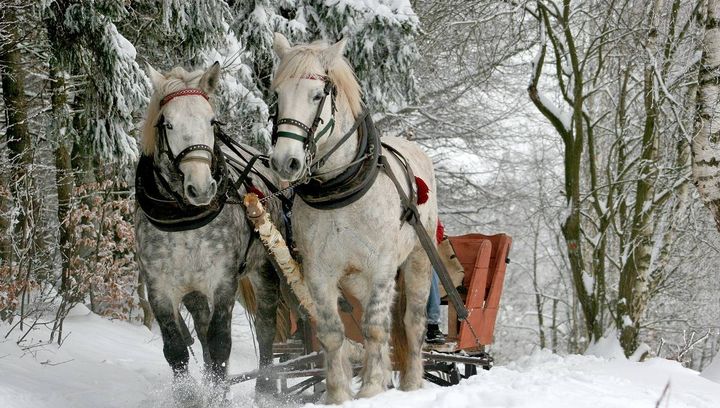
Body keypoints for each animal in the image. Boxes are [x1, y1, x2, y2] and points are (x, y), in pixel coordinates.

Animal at [136, 63, 282, 398]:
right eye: (168, 124)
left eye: (212, 121)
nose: (201, 188)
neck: (183, 218)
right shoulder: (159, 287)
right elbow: (176, 349)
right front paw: (190, 397)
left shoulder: (223, 281)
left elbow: (220, 345)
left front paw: (218, 396)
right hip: (194, 291)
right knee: (201, 332)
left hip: (265, 269)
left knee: (266, 327)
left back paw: (266, 388)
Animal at [268, 33, 436, 404]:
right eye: (277, 95)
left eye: (317, 95)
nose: (285, 162)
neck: (340, 188)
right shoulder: (319, 271)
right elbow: (333, 332)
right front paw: (338, 394)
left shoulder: (382, 266)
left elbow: (374, 327)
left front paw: (371, 388)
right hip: (356, 278)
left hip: (417, 260)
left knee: (411, 321)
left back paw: (411, 383)